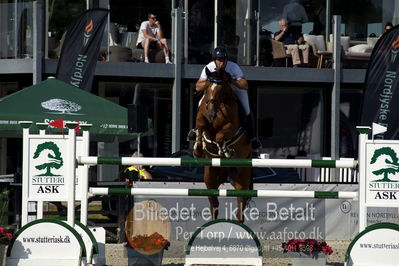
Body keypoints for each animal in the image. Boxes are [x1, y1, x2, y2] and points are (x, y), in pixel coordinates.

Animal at [195, 67, 253, 222]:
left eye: (221, 89)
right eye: (207, 87)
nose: (211, 114)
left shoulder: (231, 127)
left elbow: (221, 135)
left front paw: (224, 150)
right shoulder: (203, 120)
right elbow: (201, 125)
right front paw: (198, 148)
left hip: (242, 178)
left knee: (240, 205)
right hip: (210, 179)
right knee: (214, 204)